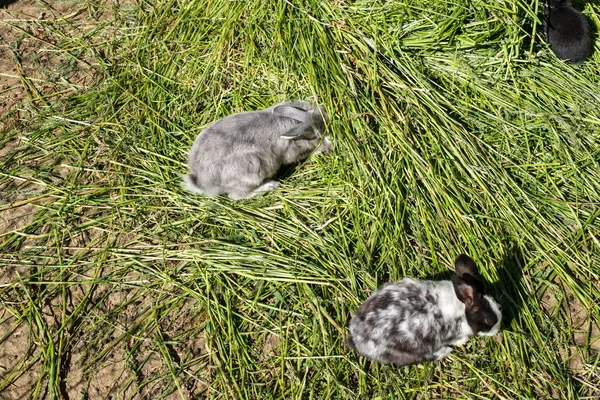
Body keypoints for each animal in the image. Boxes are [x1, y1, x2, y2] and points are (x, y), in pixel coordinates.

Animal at [184, 101, 332, 199]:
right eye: (321, 134)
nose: (331, 146)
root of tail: (202, 181)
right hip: (252, 168)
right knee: (236, 196)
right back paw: (270, 185)